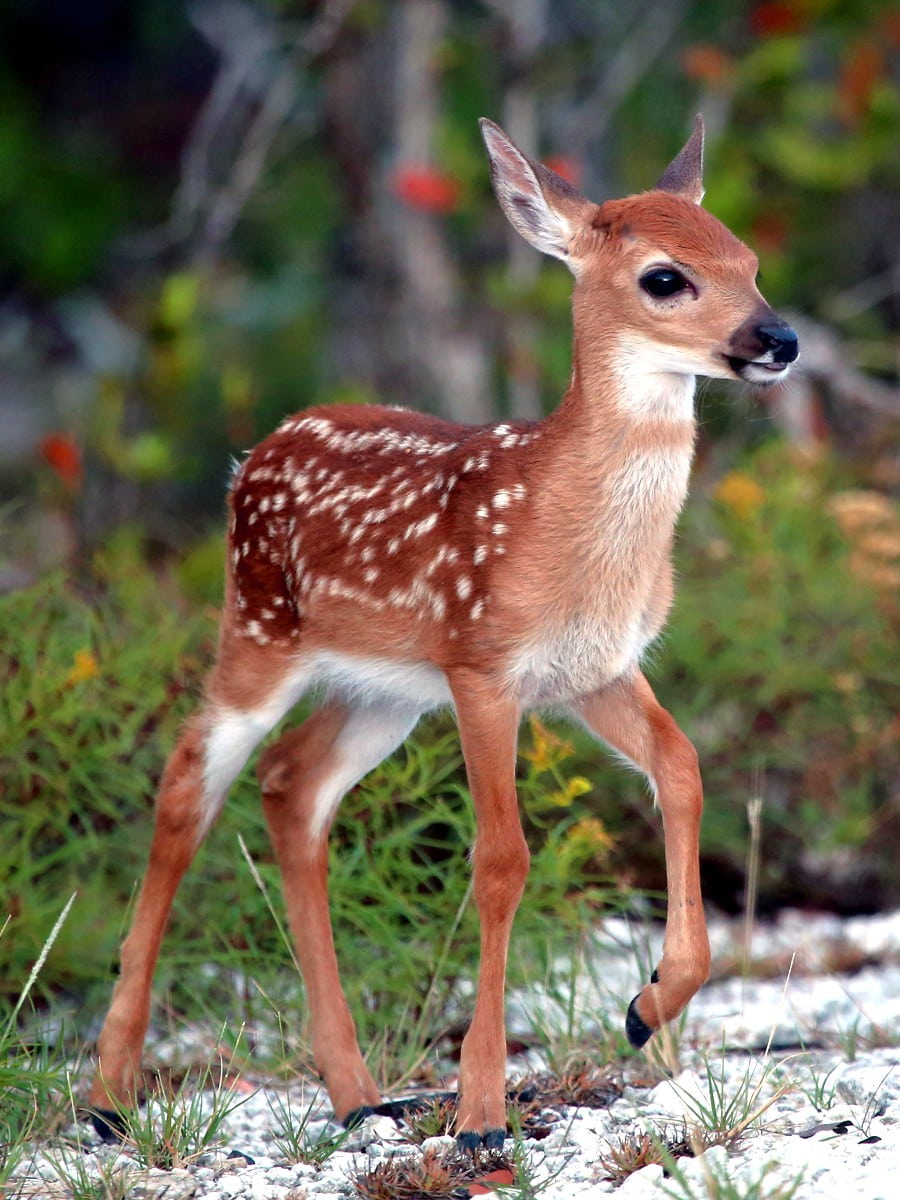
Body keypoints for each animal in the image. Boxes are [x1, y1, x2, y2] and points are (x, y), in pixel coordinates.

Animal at [88, 115, 798, 1151]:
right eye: (666, 277)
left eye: (749, 261)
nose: (779, 338)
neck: (565, 527)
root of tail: (253, 453)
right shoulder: (482, 664)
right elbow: (501, 859)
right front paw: (481, 1114)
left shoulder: (594, 671)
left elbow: (683, 767)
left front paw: (648, 1003)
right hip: (259, 630)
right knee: (186, 786)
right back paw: (108, 1095)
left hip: (382, 691)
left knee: (293, 785)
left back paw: (356, 1094)